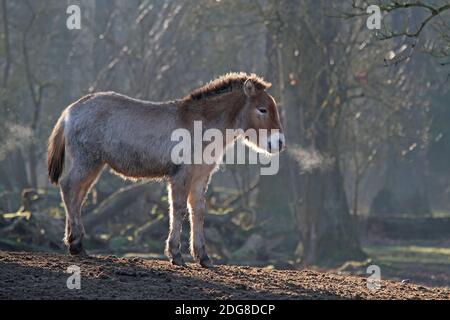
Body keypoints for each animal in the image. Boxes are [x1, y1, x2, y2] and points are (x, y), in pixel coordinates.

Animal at [46, 72, 284, 268]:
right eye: (262, 109)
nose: (279, 143)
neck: (201, 125)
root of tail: (71, 110)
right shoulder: (181, 176)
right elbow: (178, 210)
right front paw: (175, 255)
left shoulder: (200, 177)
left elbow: (198, 212)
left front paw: (203, 257)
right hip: (87, 161)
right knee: (69, 189)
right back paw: (76, 244)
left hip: (94, 165)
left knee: (78, 196)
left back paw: (75, 244)